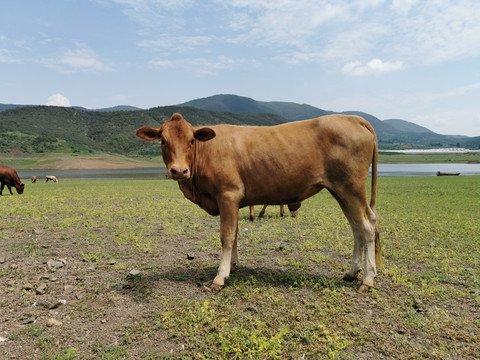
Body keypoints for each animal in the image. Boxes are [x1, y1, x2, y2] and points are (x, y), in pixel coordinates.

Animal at [137, 112, 380, 292]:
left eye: (191, 140)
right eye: (163, 141)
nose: (178, 171)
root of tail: (352, 117)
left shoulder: (228, 195)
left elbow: (226, 236)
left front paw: (220, 276)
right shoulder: (232, 202)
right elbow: (235, 233)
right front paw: (232, 266)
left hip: (351, 188)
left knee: (367, 228)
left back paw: (368, 280)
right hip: (341, 191)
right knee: (357, 228)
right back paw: (352, 272)